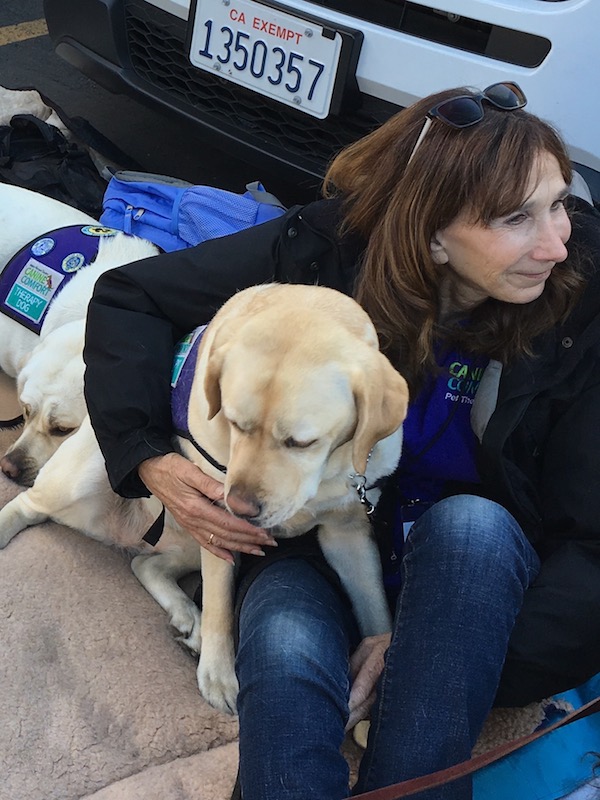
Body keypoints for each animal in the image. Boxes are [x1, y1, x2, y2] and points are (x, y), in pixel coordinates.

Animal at [0, 282, 408, 712]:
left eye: (301, 442)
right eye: (234, 422)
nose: (241, 506)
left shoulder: (348, 533)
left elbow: (377, 610)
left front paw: (378, 674)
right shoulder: (217, 524)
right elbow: (218, 607)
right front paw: (218, 676)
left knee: (145, 565)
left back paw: (185, 616)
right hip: (89, 467)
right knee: (28, 504)